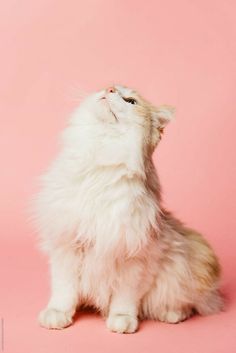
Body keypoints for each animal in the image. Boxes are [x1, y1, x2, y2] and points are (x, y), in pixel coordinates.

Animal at [33, 84, 223, 332]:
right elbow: (64, 290)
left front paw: (122, 319)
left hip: (185, 262)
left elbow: (125, 297)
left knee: (187, 304)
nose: (110, 88)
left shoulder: (135, 256)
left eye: (131, 101)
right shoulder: (67, 246)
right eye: (109, 87)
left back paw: (171, 314)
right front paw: (57, 314)